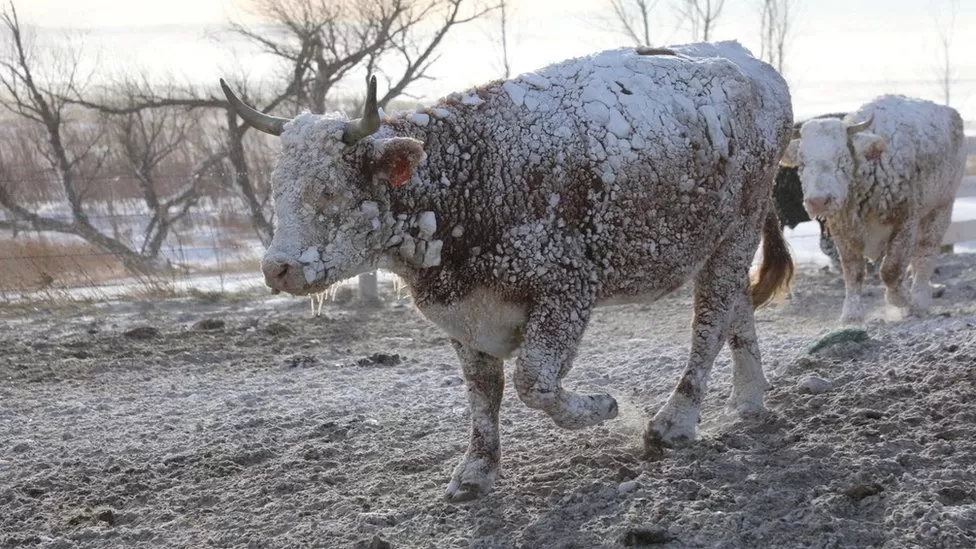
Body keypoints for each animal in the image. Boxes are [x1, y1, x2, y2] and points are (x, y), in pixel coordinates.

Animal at [219, 41, 792, 500]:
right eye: (277, 188)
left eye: (328, 191)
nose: (278, 268)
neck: (466, 177)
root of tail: (753, 67)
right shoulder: (465, 317)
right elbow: (483, 393)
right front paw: (476, 470)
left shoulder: (565, 291)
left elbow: (532, 382)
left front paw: (603, 407)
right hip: (724, 242)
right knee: (736, 307)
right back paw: (747, 399)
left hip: (734, 234)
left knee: (709, 322)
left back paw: (674, 422)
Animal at [776, 95, 968, 322]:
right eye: (802, 163)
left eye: (842, 159)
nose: (819, 201)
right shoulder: (842, 231)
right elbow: (853, 272)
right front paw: (850, 313)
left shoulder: (905, 222)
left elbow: (891, 270)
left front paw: (903, 301)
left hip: (941, 207)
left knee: (925, 253)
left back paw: (920, 298)